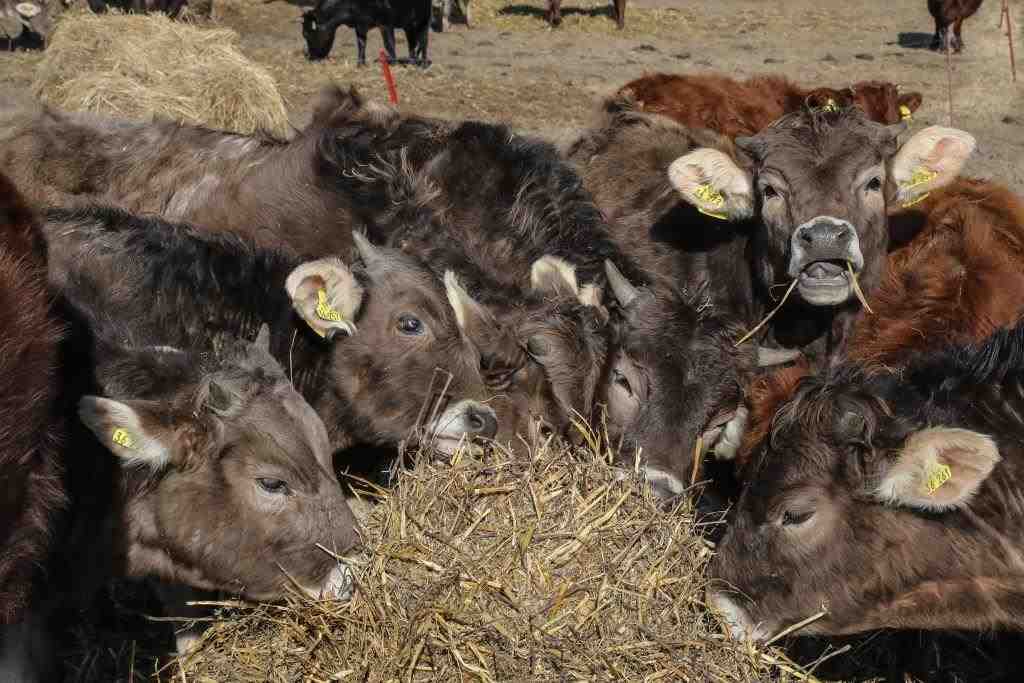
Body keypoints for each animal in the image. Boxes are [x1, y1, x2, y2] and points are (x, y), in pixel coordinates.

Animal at [303, 0, 432, 66]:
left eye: (306, 34)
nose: (310, 57)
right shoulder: (360, 25)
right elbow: (361, 44)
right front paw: (360, 64)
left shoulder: (385, 23)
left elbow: (389, 44)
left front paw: (393, 64)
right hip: (409, 26)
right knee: (414, 43)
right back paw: (413, 62)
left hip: (422, 21)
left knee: (423, 42)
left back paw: (422, 63)